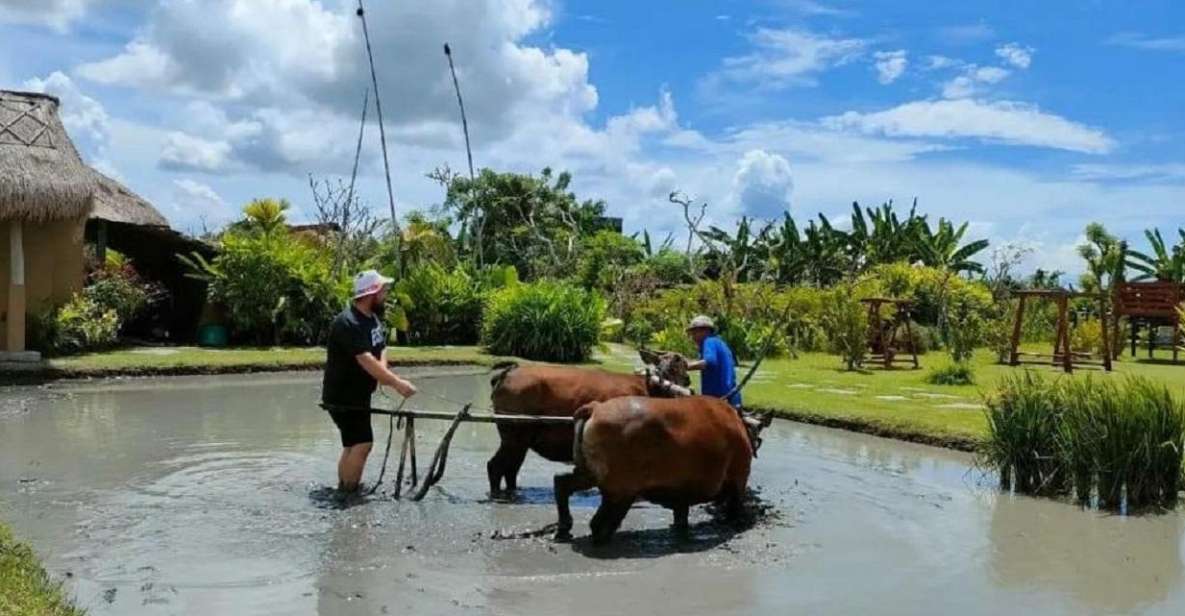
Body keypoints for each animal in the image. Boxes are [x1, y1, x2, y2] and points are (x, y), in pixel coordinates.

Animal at [485, 348, 692, 497]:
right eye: (676, 364)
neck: (650, 387)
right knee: (496, 466)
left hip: (519, 439)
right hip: (514, 435)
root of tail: (508, 372)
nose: (685, 381)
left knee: (510, 468)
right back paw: (498, 495)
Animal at [549, 398, 763, 542]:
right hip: (621, 490)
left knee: (562, 483)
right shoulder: (739, 477)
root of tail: (595, 408)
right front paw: (738, 521)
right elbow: (735, 502)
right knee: (600, 520)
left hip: (590, 474)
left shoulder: (682, 492)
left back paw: (564, 528)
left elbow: (681, 512)